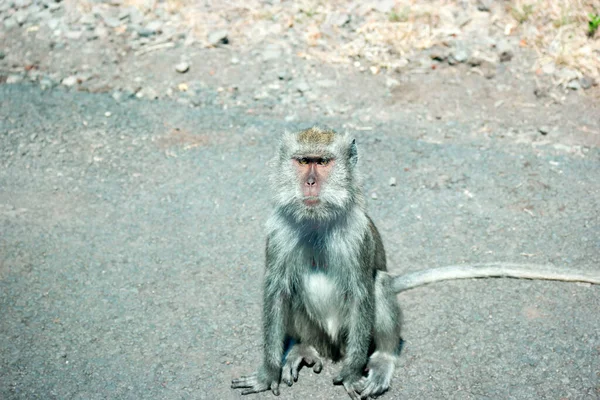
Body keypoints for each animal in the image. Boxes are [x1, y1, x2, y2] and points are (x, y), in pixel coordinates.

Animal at [231, 126, 600, 398]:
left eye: (322, 163)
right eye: (301, 161)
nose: (309, 182)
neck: (317, 220)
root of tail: (332, 346)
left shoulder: (358, 236)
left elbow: (362, 292)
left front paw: (351, 374)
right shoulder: (278, 231)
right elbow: (276, 291)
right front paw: (268, 373)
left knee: (379, 284)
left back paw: (382, 358)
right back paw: (304, 348)